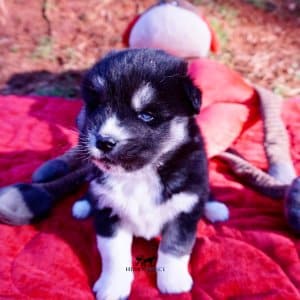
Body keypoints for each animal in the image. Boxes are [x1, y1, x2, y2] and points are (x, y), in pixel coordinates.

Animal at [77, 49, 209, 300]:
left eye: (147, 115)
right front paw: (112, 287)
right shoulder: (108, 212)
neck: (141, 175)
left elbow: (175, 246)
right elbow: (113, 254)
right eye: (96, 105)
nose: (104, 141)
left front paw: (173, 283)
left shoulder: (184, 209)